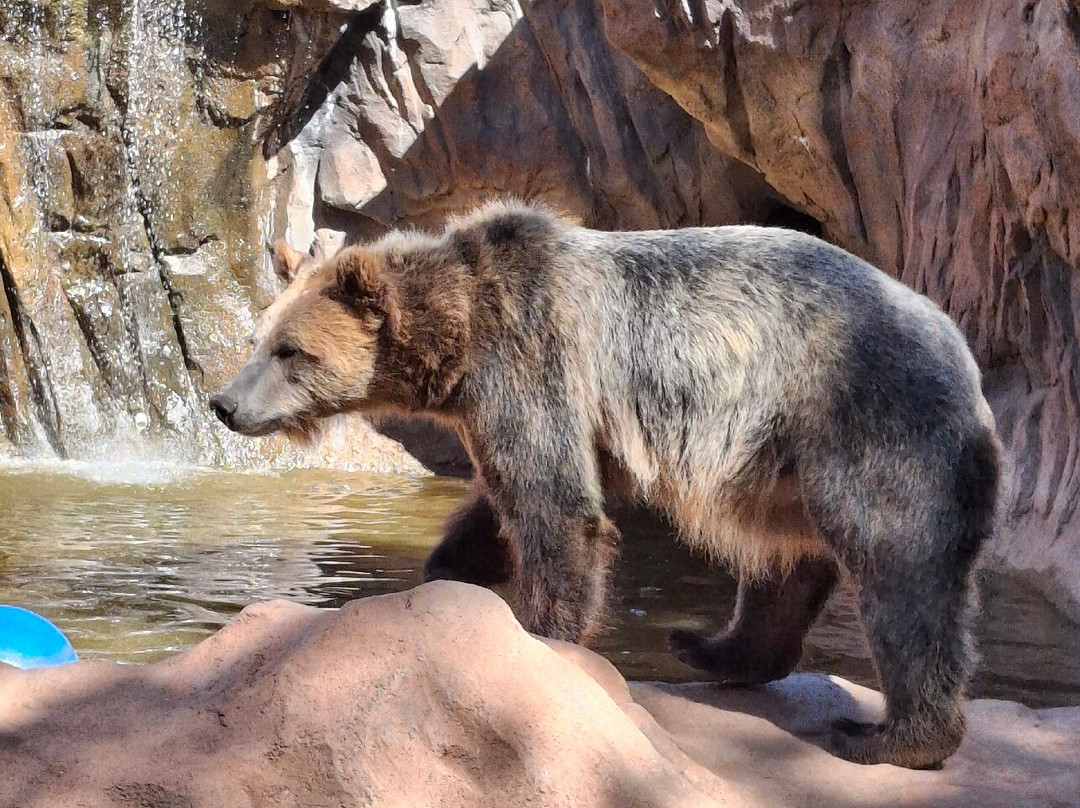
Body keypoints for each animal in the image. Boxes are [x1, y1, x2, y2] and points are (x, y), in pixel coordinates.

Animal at [211, 199, 1001, 770]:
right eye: (258, 340)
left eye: (291, 351)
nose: (223, 403)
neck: (458, 326)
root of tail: (962, 354)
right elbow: (504, 500)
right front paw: (450, 568)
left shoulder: (531, 353)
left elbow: (552, 502)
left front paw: (542, 630)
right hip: (778, 464)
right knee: (785, 565)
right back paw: (709, 647)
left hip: (864, 419)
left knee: (901, 574)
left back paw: (888, 736)